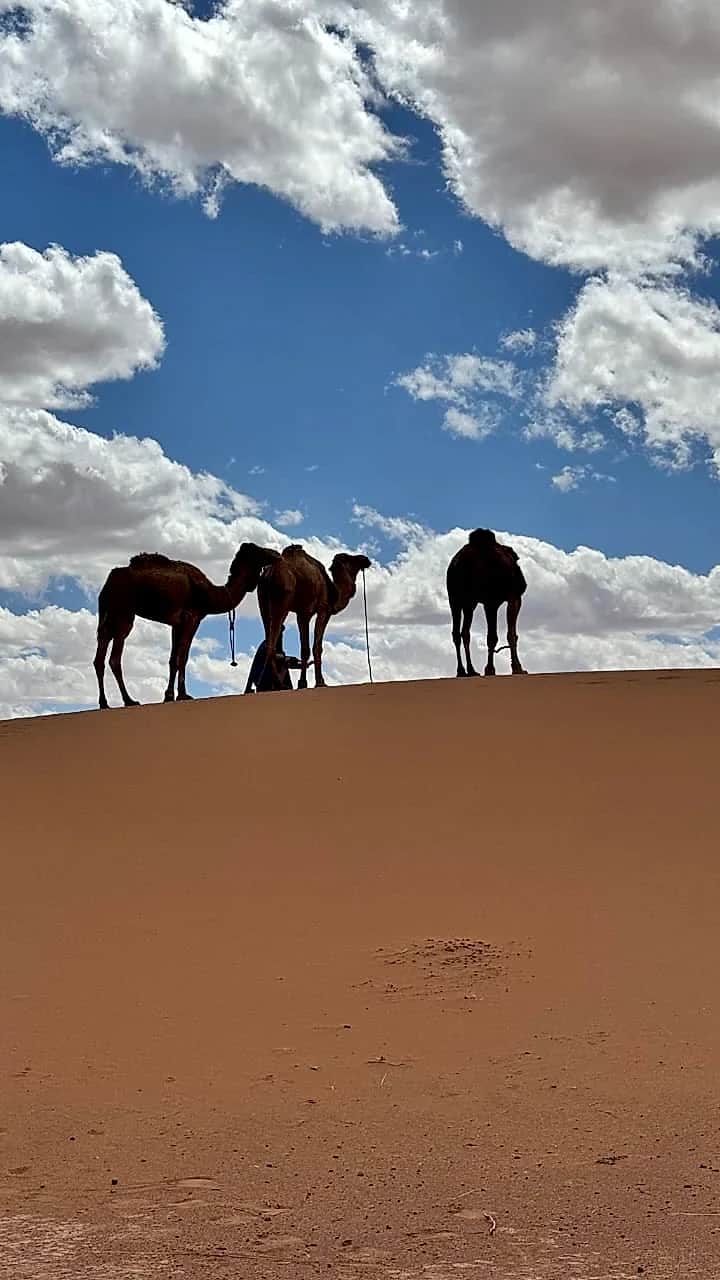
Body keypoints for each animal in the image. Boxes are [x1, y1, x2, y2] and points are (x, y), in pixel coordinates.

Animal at [94, 543, 279, 709]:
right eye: (258, 550)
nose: (276, 554)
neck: (210, 593)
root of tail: (109, 581)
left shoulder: (177, 623)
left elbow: (173, 659)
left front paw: (169, 696)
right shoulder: (192, 618)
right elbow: (183, 657)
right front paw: (183, 694)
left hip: (107, 615)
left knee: (99, 657)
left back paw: (104, 703)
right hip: (123, 613)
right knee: (114, 658)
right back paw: (129, 701)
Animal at [257, 544, 371, 689]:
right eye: (349, 557)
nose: (365, 559)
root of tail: (269, 572)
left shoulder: (303, 613)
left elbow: (304, 649)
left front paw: (302, 683)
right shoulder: (322, 610)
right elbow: (317, 647)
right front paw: (320, 682)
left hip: (263, 603)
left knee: (267, 636)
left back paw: (265, 684)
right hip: (282, 601)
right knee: (272, 641)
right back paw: (279, 684)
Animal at [446, 528, 527, 678]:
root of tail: (458, 564)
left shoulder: (492, 602)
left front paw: (490, 669)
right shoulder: (510, 598)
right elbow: (507, 635)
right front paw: (515, 668)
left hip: (460, 601)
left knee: (460, 632)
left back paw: (466, 670)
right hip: (470, 600)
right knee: (466, 632)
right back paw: (468, 670)